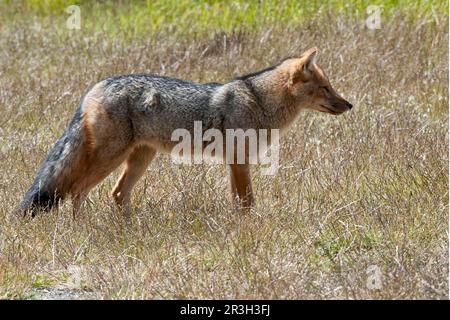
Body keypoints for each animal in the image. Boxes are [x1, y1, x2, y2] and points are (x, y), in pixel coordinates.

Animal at [20, 47, 352, 218]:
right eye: (325, 88)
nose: (350, 104)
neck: (258, 101)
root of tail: (95, 87)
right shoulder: (239, 161)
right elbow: (247, 201)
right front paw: (250, 227)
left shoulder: (235, 163)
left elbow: (239, 201)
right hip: (111, 158)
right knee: (77, 190)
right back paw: (85, 227)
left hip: (140, 159)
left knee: (116, 193)